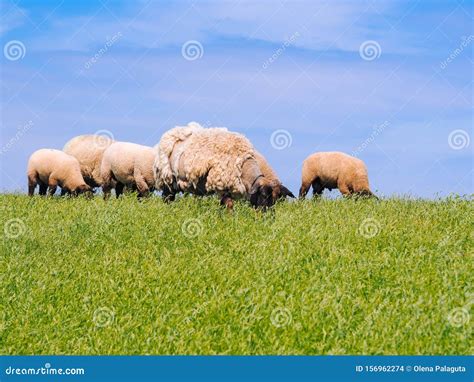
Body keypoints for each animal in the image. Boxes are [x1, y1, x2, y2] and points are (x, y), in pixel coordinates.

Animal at [156, 125, 286, 209]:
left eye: (276, 199)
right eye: (263, 195)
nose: (268, 217)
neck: (243, 165)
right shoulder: (220, 184)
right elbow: (229, 205)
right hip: (168, 177)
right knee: (167, 197)